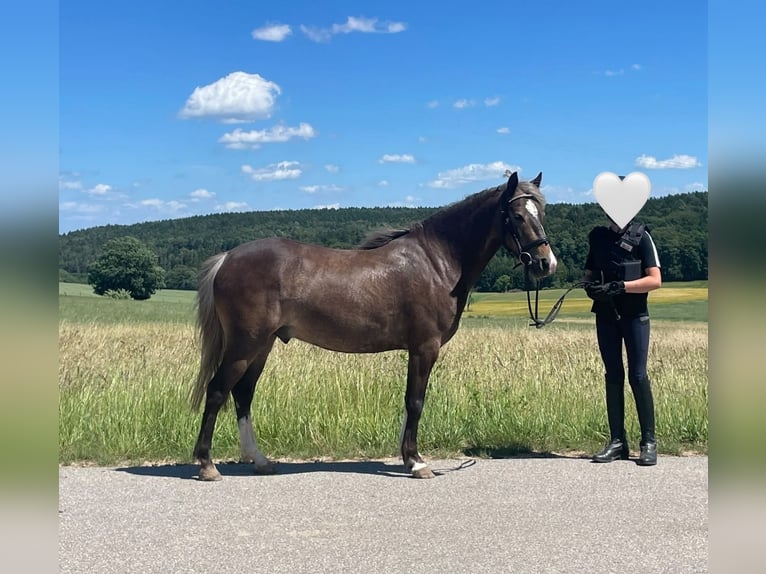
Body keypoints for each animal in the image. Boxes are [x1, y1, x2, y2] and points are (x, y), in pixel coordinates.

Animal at [190, 171, 557, 480]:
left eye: (541, 213)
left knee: (243, 394)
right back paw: (207, 465)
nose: (546, 263)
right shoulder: (425, 348)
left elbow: (409, 404)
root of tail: (228, 258)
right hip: (244, 345)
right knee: (218, 390)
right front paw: (417, 463)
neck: (436, 261)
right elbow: (416, 402)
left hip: (262, 345)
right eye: (517, 216)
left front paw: (407, 457)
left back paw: (260, 460)